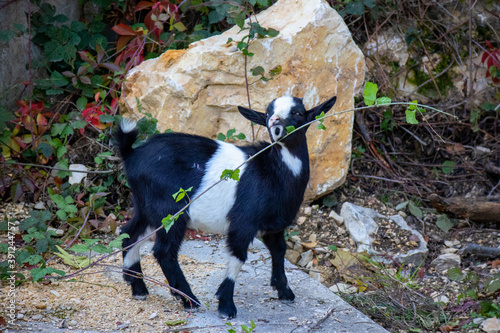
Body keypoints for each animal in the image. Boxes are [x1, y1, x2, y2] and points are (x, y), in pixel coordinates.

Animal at [115, 94, 338, 318]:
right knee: (164, 251)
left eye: (299, 113)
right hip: (170, 210)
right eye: (268, 114)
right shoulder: (244, 221)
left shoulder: (273, 225)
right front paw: (226, 305)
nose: (276, 122)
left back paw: (138, 288)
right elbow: (238, 256)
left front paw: (284, 291)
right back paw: (188, 299)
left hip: (147, 206)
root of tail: (132, 155)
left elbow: (279, 250)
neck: (275, 171)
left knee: (130, 234)